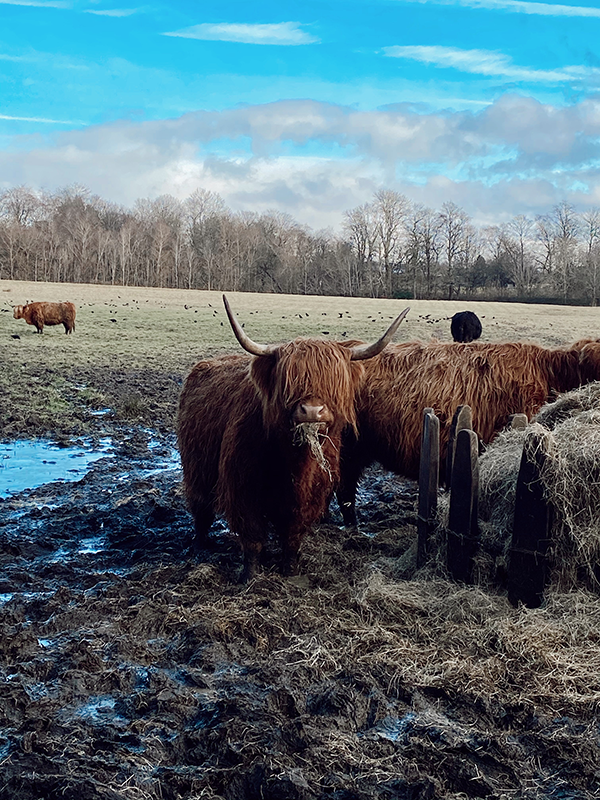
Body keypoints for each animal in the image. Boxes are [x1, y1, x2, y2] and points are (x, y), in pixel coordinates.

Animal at [177, 295, 409, 580]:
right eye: (290, 381)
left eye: (333, 382)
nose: (311, 411)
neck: (294, 463)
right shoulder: (242, 488)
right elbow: (252, 536)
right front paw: (250, 575)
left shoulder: (310, 496)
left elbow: (292, 535)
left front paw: (291, 570)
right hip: (196, 468)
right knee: (201, 508)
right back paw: (200, 545)